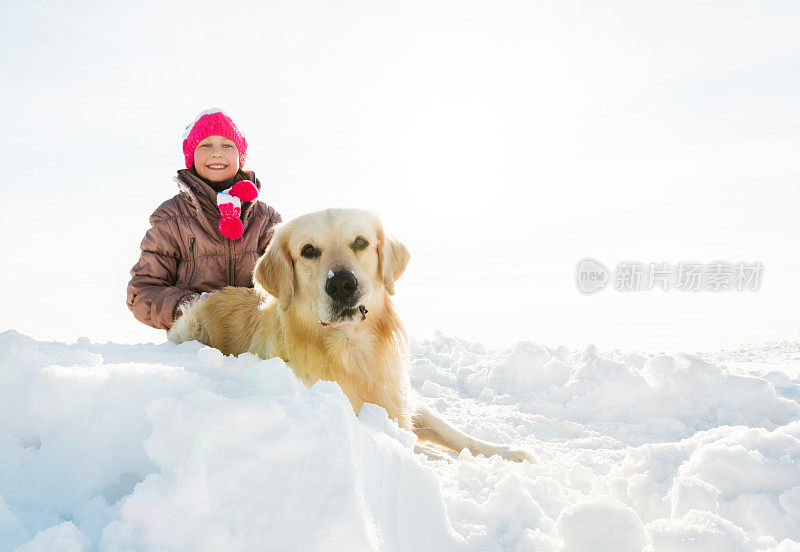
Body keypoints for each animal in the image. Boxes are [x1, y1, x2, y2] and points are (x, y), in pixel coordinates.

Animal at [169, 207, 532, 462]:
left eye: (360, 242)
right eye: (308, 250)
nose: (342, 284)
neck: (353, 350)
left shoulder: (400, 397)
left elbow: (453, 433)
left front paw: (508, 452)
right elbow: (410, 444)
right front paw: (440, 457)